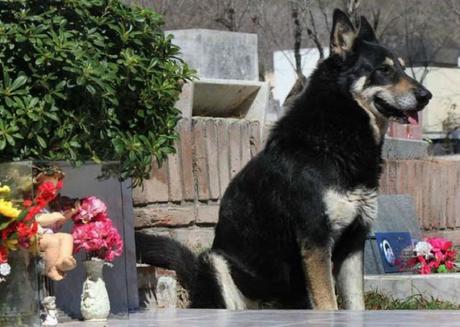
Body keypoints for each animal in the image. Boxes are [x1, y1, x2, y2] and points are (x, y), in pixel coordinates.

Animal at [136, 9, 432, 312]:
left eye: (402, 68)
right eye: (384, 70)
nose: (426, 96)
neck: (337, 133)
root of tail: (194, 274)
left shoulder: (353, 243)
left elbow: (355, 305)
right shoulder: (316, 241)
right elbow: (329, 305)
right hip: (215, 263)